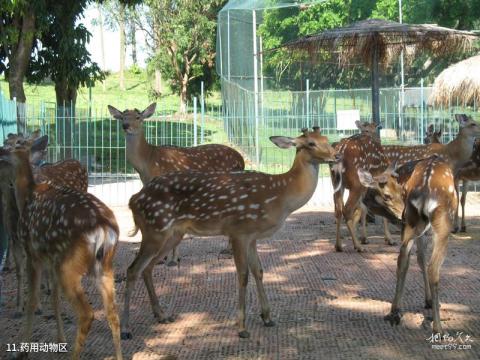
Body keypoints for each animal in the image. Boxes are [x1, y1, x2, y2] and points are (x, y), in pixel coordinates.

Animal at [0, 136, 124, 358]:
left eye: (13, 143)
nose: (0, 151)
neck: (27, 195)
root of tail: (103, 228)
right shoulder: (51, 257)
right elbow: (55, 298)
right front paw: (60, 339)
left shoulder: (33, 253)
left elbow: (33, 300)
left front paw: (22, 349)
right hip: (104, 265)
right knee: (112, 312)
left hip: (69, 264)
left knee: (87, 313)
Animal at [108, 103, 244, 264]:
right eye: (122, 117)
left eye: (138, 117)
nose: (126, 126)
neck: (148, 162)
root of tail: (241, 159)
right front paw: (164, 257)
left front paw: (172, 259)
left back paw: (229, 251)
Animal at [122, 128, 336, 338]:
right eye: (310, 143)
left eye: (327, 139)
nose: (335, 155)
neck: (281, 195)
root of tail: (133, 200)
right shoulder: (238, 231)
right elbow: (243, 274)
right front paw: (241, 327)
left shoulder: (252, 236)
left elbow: (258, 271)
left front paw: (267, 317)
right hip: (155, 228)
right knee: (132, 269)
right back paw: (126, 329)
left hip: (172, 234)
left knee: (147, 268)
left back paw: (161, 315)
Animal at [360, 155, 458, 334]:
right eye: (386, 196)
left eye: (401, 191)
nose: (400, 215)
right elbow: (422, 259)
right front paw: (429, 301)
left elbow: (419, 259)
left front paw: (427, 300)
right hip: (443, 221)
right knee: (433, 267)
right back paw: (438, 328)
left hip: (411, 222)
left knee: (402, 260)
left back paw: (394, 312)